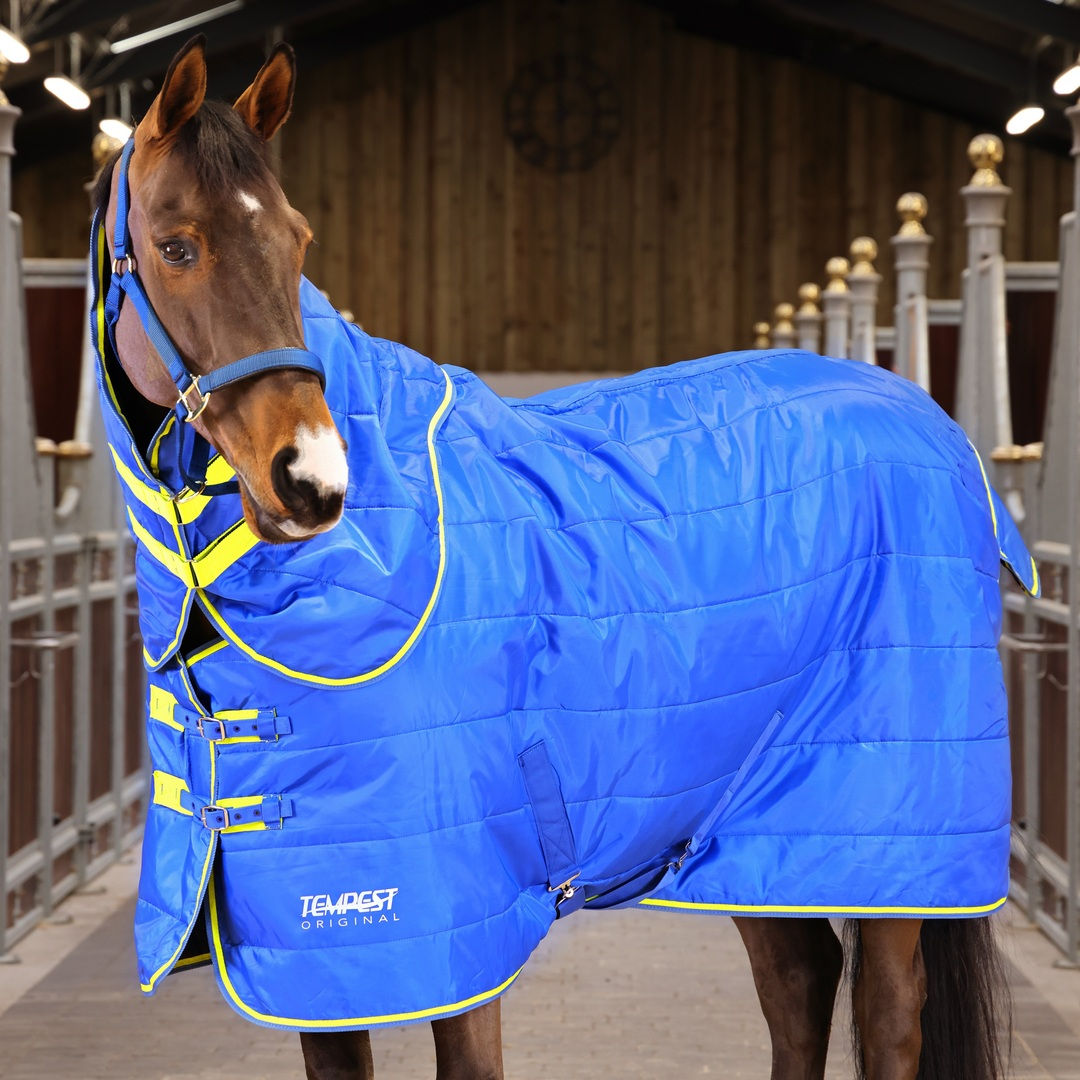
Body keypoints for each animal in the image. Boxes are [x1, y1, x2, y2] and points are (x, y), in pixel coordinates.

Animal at [91, 35, 1022, 1080]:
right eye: (177, 245)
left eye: (298, 240)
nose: (312, 480)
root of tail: (929, 418)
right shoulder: (320, 968)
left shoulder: (454, 936)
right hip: (745, 829)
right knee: (798, 983)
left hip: (887, 836)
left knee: (890, 1012)